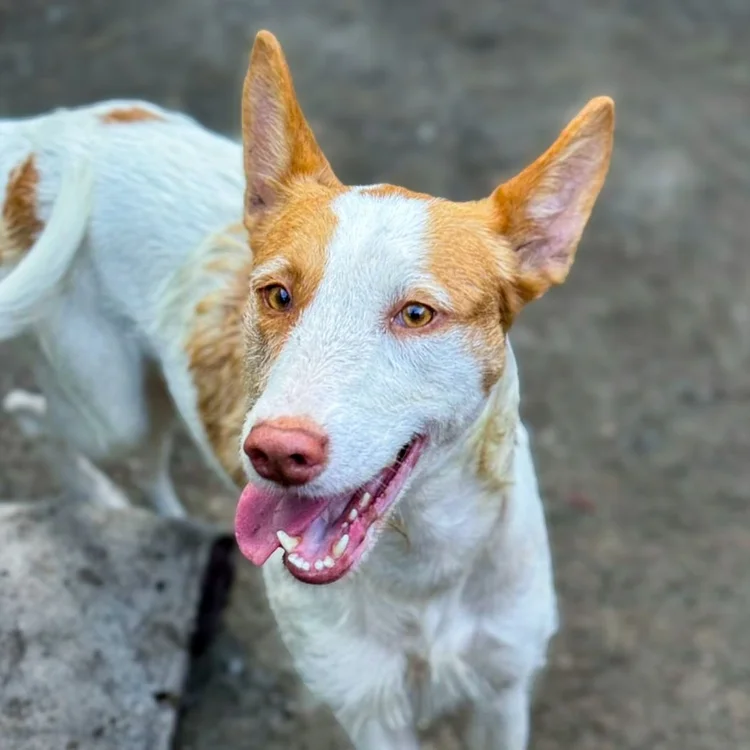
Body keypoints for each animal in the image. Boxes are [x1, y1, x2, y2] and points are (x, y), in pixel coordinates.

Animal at [0, 30, 614, 749]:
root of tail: (42, 137)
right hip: (106, 403)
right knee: (37, 417)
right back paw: (97, 498)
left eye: (416, 314)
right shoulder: (370, 713)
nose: (273, 454)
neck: (423, 569)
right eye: (277, 294)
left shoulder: (503, 694)